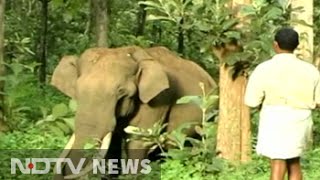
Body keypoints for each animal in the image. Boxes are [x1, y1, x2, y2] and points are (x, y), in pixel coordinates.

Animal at [52, 45, 218, 179]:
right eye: (76, 88)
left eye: (121, 91)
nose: (65, 173)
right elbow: (112, 147)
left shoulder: (157, 100)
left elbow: (138, 143)